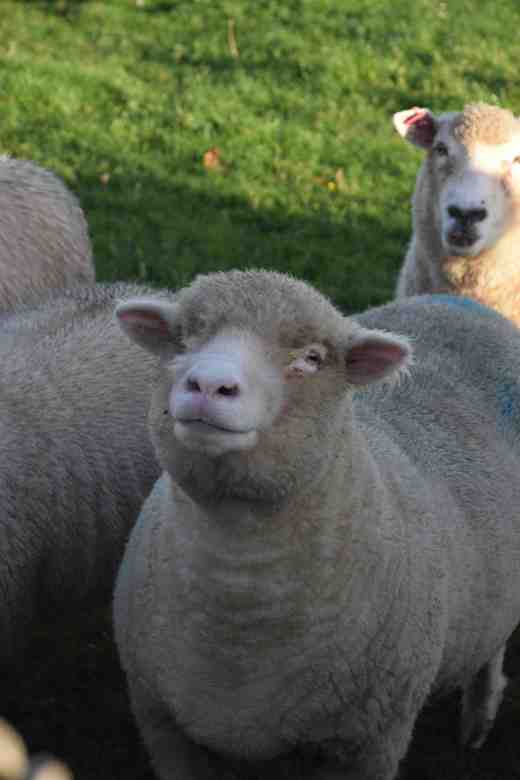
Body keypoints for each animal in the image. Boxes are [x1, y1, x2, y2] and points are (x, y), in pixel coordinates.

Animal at [113, 269, 520, 780]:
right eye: (183, 340)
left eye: (311, 358)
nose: (208, 384)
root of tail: (455, 303)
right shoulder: (161, 721)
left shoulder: (369, 741)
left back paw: (479, 720)